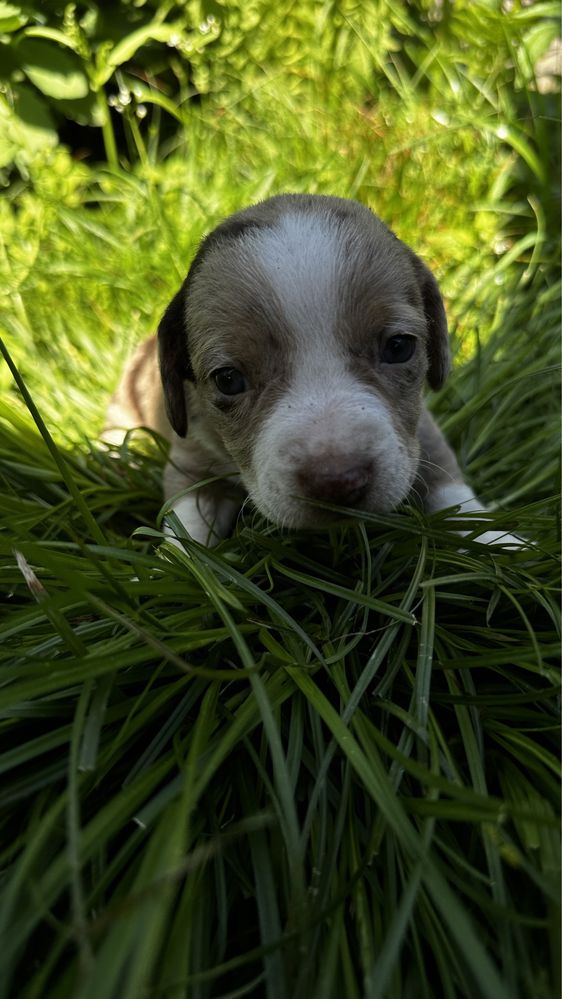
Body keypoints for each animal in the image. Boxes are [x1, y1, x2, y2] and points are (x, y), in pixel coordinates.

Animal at [105, 192, 516, 548]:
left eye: (399, 347)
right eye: (228, 379)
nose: (338, 482)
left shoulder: (422, 431)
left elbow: (454, 493)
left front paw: (504, 544)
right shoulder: (190, 462)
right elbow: (187, 532)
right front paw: (170, 570)